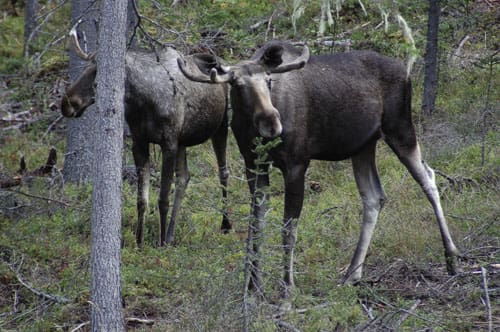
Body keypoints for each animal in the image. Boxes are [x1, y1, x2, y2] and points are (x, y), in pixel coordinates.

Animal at [60, 23, 230, 246]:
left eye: (98, 72)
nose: (66, 103)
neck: (143, 102)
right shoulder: (140, 142)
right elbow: (142, 200)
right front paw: (139, 242)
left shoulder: (168, 143)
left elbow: (162, 199)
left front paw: (159, 243)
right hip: (183, 141)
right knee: (184, 177)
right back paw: (171, 235)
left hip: (221, 127)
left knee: (223, 172)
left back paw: (225, 225)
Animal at [179, 40, 460, 296]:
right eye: (237, 86)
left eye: (269, 80)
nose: (272, 123)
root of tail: (407, 72)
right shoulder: (254, 166)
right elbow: (256, 225)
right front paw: (253, 287)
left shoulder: (296, 164)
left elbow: (288, 230)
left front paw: (287, 288)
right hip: (363, 146)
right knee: (374, 196)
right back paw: (352, 274)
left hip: (400, 128)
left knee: (428, 178)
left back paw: (452, 258)